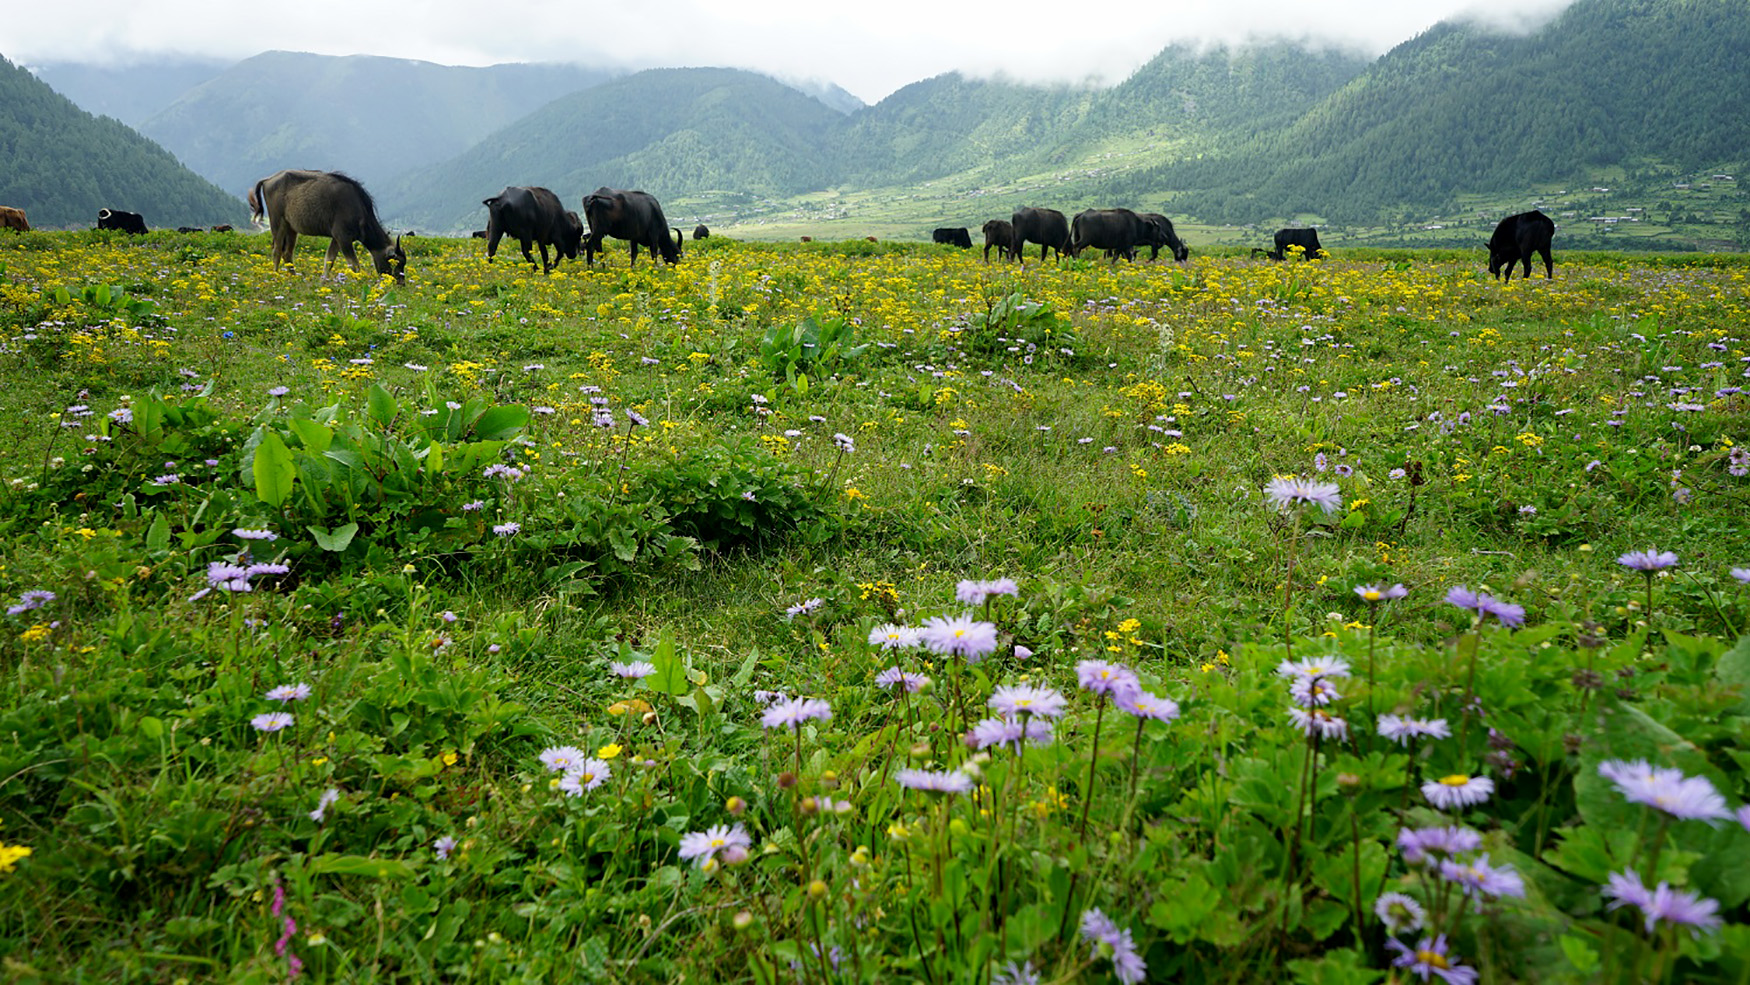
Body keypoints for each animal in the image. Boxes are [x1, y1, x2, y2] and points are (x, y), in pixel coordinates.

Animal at [253, 169, 406, 283]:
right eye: (395, 262)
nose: (401, 284)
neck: (359, 210)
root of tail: (268, 179)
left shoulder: (337, 238)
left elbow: (329, 260)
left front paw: (323, 282)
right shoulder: (343, 238)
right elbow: (354, 265)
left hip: (291, 228)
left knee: (287, 253)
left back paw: (293, 277)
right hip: (277, 221)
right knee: (277, 251)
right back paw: (275, 277)